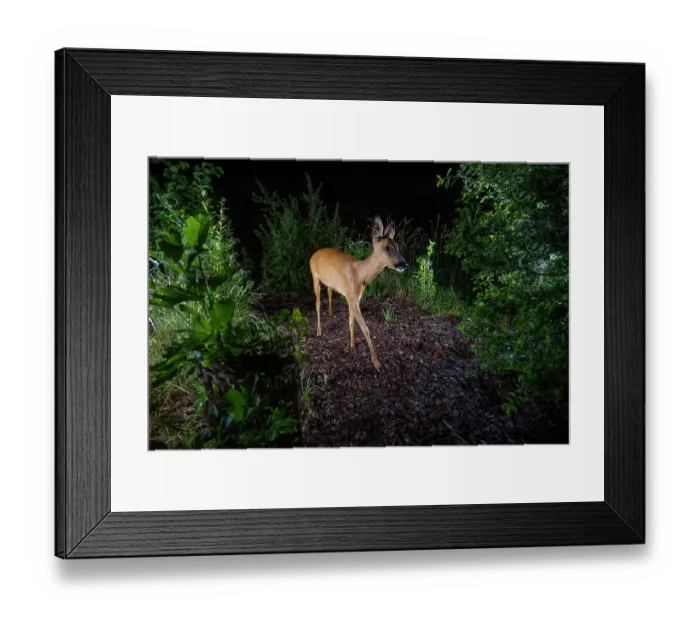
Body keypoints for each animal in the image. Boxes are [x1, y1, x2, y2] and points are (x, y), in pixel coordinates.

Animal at [309, 215, 407, 371]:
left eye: (397, 246)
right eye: (386, 247)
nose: (404, 264)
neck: (359, 274)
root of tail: (314, 254)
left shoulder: (355, 297)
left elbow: (351, 322)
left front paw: (352, 345)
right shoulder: (351, 297)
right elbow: (365, 328)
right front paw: (376, 363)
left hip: (328, 282)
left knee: (329, 291)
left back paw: (330, 313)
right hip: (315, 276)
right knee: (317, 303)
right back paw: (319, 331)